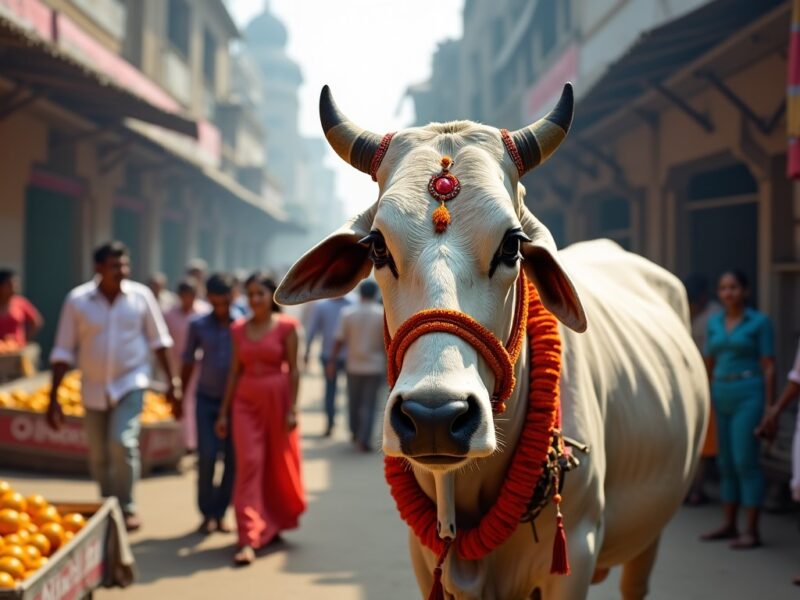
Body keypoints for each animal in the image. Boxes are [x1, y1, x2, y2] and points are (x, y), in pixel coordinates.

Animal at [275, 84, 708, 600]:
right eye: (378, 246)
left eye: (512, 245)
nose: (434, 417)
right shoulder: (424, 561)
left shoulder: (575, 557)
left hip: (648, 535)